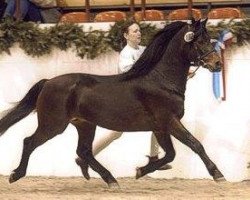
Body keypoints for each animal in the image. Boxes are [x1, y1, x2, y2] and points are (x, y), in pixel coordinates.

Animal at [0, 18, 225, 188]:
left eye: (209, 39)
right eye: (200, 41)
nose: (218, 64)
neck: (161, 81)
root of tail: (48, 82)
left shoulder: (161, 127)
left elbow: (170, 154)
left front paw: (141, 171)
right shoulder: (169, 121)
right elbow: (195, 144)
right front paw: (218, 174)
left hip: (85, 124)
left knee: (84, 151)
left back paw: (110, 179)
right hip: (53, 125)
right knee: (29, 142)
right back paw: (15, 175)